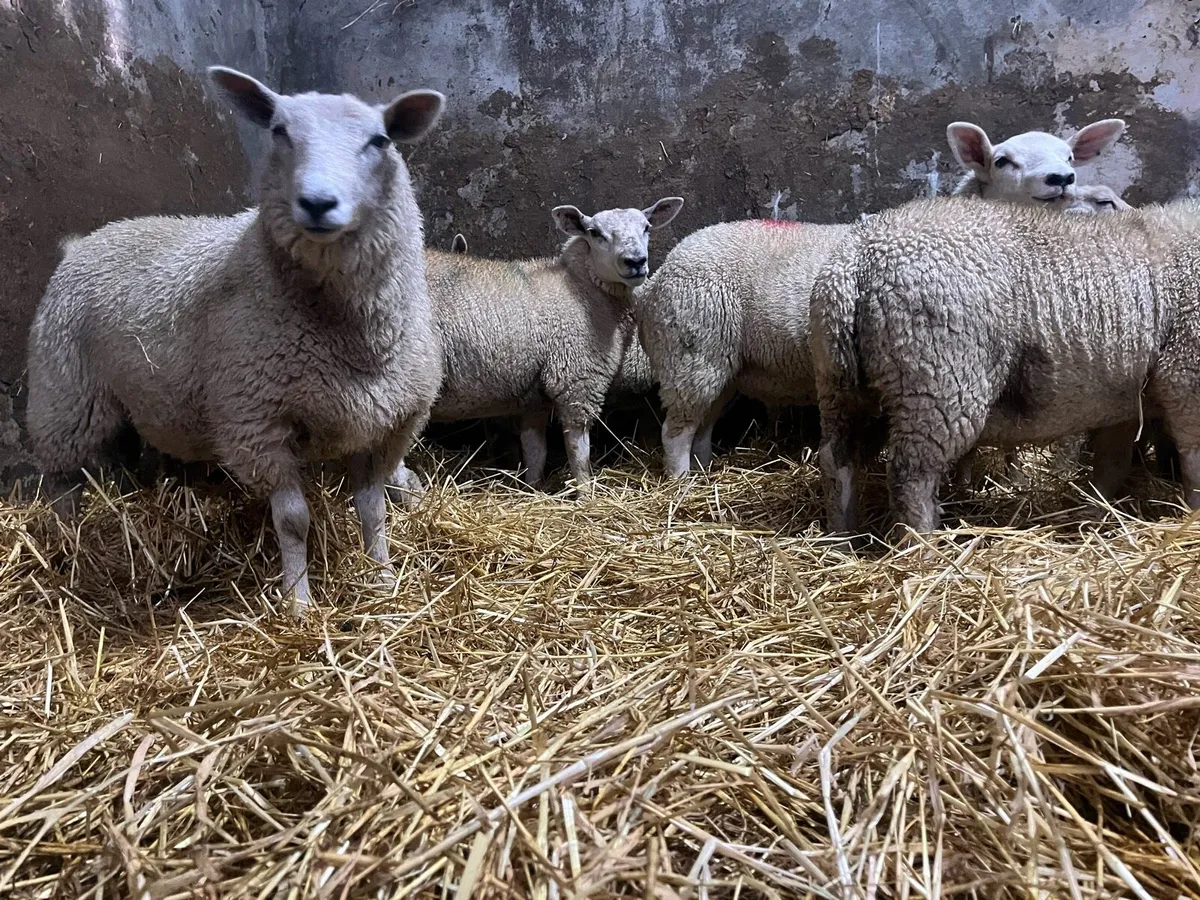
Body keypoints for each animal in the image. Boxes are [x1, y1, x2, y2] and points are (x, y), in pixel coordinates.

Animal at [26, 67, 445, 617]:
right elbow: (294, 520)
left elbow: (372, 509)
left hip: (144, 397)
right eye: (280, 132)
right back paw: (66, 547)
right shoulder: (257, 423)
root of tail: (88, 239)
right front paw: (299, 603)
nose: (317, 203)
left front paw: (383, 577)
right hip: (65, 395)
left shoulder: (384, 423)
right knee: (62, 484)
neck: (351, 335)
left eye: (379, 141)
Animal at [399, 198, 683, 494]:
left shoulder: (534, 397)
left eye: (647, 227)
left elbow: (536, 451)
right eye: (594, 233)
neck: (582, 289)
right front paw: (586, 494)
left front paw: (532, 489)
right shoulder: (577, 381)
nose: (636, 262)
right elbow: (579, 454)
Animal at [809, 195, 1200, 537]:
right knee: (911, 474)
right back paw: (923, 547)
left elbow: (1112, 463)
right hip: (936, 381)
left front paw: (1094, 513)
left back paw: (842, 538)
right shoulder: (1186, 376)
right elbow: (1193, 463)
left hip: (842, 385)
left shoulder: (1125, 400)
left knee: (836, 458)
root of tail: (856, 258)